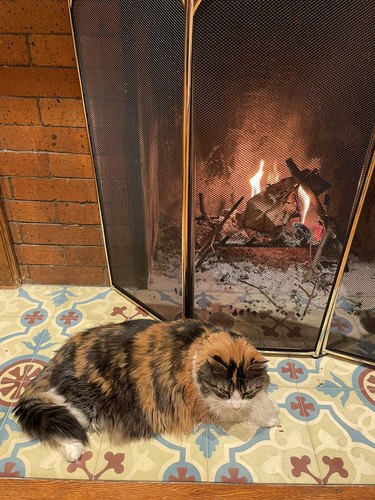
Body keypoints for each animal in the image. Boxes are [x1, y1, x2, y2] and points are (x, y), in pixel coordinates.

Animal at [14, 320, 280, 460]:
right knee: (61, 421)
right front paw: (265, 416)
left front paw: (270, 414)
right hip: (87, 405)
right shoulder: (211, 403)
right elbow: (245, 411)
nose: (235, 403)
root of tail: (65, 350)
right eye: (222, 391)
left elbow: (259, 401)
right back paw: (74, 451)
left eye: (246, 392)